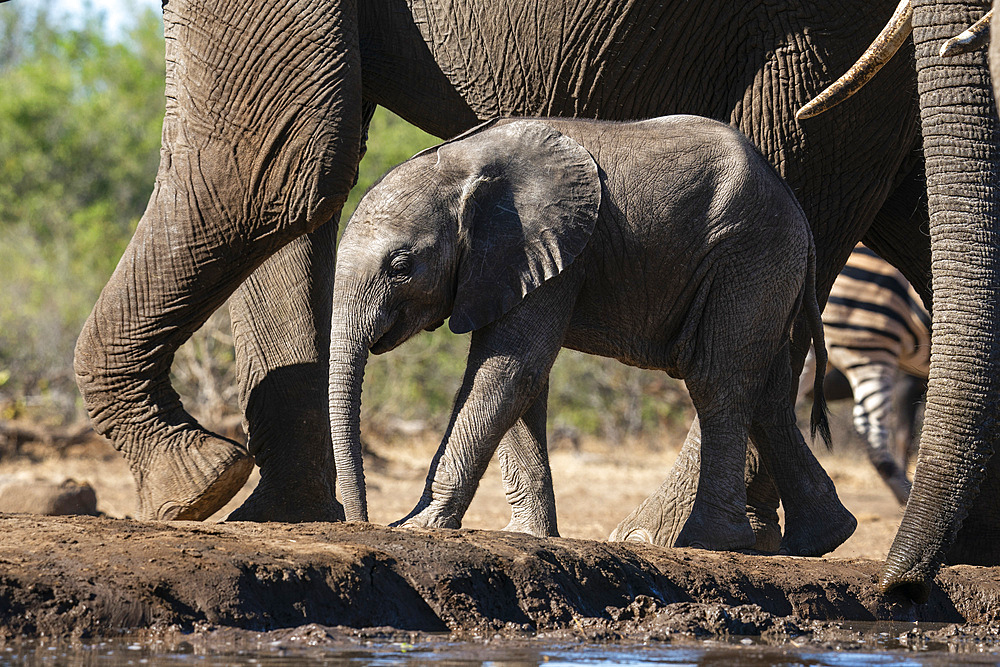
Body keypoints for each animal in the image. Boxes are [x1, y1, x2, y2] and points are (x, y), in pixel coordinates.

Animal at [332, 116, 840, 552]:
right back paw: (822, 537)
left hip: (750, 259)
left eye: (402, 267)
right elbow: (521, 379)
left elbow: (508, 371)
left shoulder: (549, 249)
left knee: (716, 381)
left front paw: (416, 525)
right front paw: (528, 535)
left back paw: (708, 541)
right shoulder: (515, 263)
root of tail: (799, 214)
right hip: (767, 270)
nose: (359, 521)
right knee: (768, 396)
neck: (464, 162)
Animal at [800, 245, 932, 506]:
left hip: (812, 347)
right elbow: (903, 434)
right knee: (869, 425)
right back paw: (904, 494)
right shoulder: (909, 379)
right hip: (871, 347)